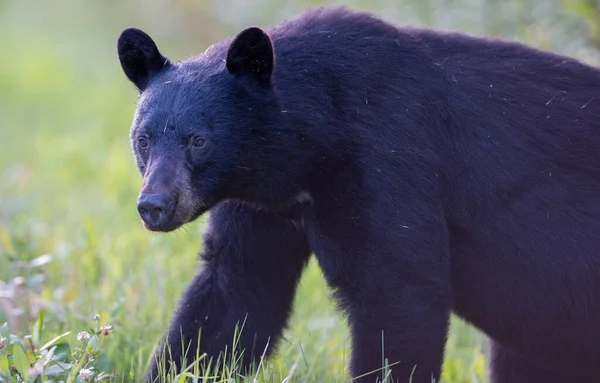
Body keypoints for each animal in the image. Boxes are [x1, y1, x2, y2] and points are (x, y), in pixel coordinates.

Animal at [118, 6, 600, 383]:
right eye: (143, 140)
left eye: (198, 141)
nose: (153, 206)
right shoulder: (259, 204)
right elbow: (233, 295)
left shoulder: (386, 156)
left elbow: (399, 289)